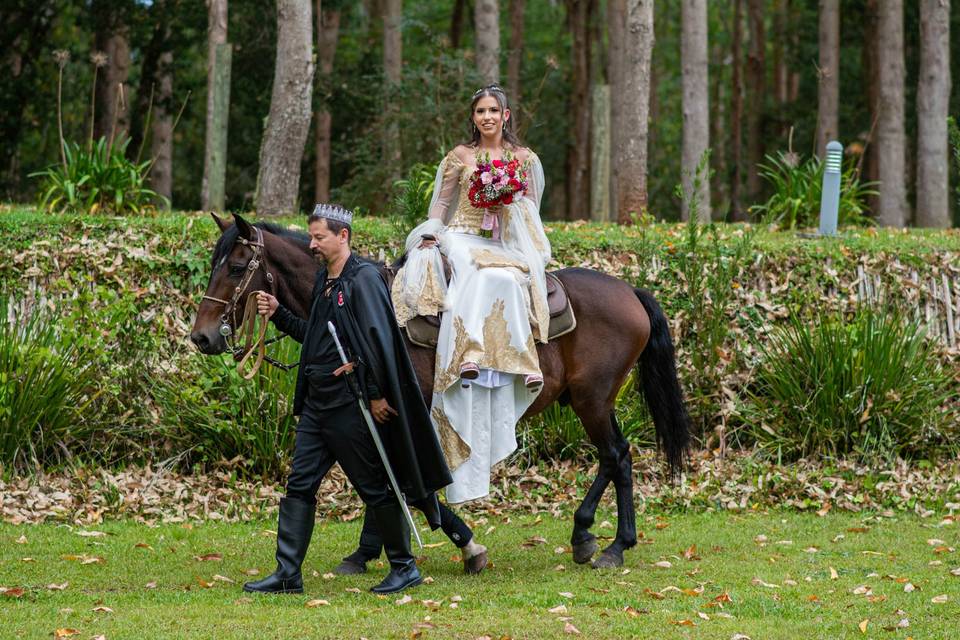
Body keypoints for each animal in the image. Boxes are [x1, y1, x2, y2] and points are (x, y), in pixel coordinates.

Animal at [191, 216, 688, 568]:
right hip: (594, 401)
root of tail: (631, 291)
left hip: (591, 401)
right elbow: (382, 483)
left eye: (236, 267)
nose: (202, 336)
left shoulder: (397, 413)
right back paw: (603, 539)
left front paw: (464, 545)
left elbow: (409, 488)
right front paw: (367, 552)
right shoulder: (372, 416)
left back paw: (605, 543)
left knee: (614, 455)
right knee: (618, 456)